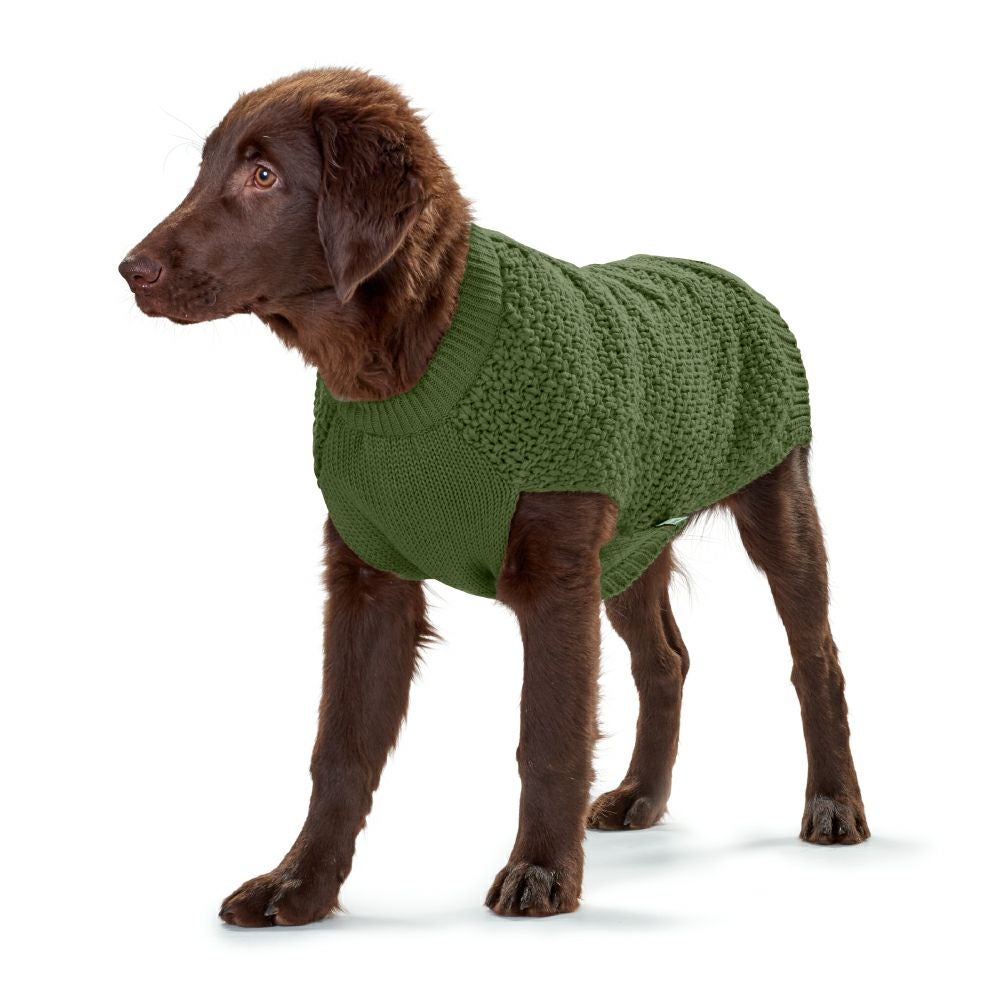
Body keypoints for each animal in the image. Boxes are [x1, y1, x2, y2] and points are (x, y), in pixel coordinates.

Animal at [119, 68, 869, 926]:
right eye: (204, 168)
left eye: (264, 175)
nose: (131, 270)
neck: (405, 369)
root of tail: (727, 276)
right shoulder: (369, 579)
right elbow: (339, 750)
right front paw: (299, 885)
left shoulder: (556, 573)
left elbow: (548, 735)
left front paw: (540, 873)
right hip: (631, 543)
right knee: (665, 661)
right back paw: (642, 797)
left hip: (776, 503)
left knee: (816, 658)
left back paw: (835, 806)